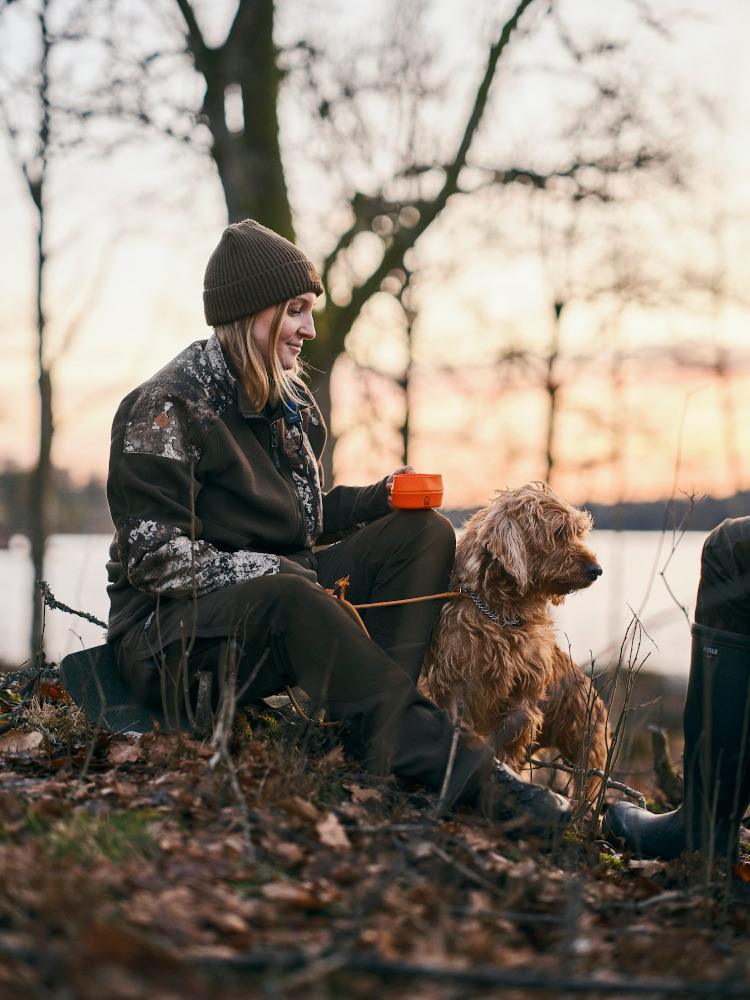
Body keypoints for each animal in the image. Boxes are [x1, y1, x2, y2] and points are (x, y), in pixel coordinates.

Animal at [424, 480, 612, 792]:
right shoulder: (452, 688)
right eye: (559, 532)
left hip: (589, 755)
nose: (596, 570)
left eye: (577, 532)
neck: (502, 617)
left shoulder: (522, 704)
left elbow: (504, 746)